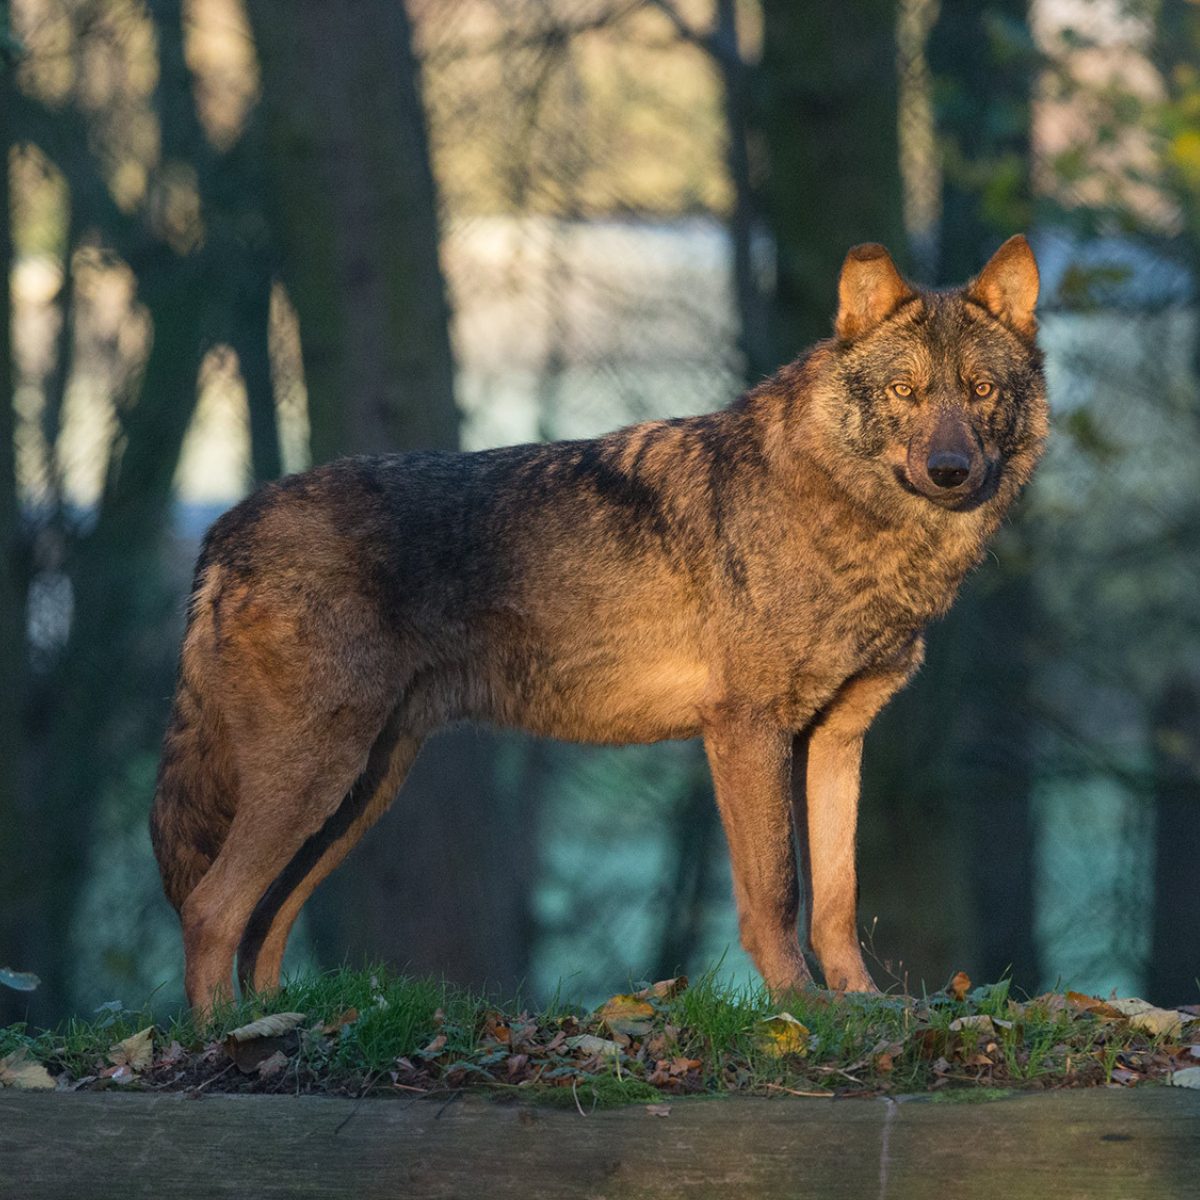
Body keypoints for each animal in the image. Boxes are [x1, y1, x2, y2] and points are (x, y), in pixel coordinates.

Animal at [151, 236, 1048, 1013]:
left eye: (981, 391)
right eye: (905, 392)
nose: (950, 471)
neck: (859, 526)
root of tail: (225, 524)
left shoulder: (837, 737)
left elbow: (837, 896)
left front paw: (865, 1010)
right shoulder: (746, 730)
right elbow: (777, 893)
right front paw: (801, 1012)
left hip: (359, 789)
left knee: (264, 920)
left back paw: (280, 1022)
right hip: (317, 774)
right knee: (211, 909)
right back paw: (227, 1037)